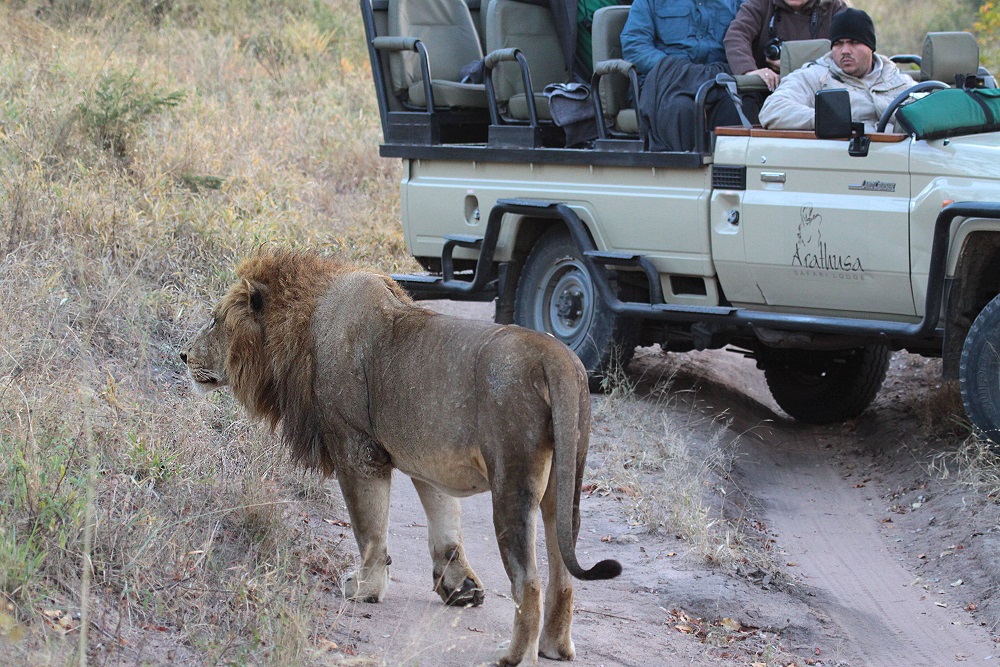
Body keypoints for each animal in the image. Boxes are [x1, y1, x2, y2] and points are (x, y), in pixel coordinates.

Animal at [180, 248, 616, 664]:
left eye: (215, 321)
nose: (184, 356)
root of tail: (556, 359)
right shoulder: (427, 459)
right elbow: (445, 525)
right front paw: (460, 588)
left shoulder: (357, 450)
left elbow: (369, 529)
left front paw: (365, 588)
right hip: (564, 486)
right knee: (563, 576)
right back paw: (555, 647)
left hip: (512, 484)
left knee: (529, 581)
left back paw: (515, 656)